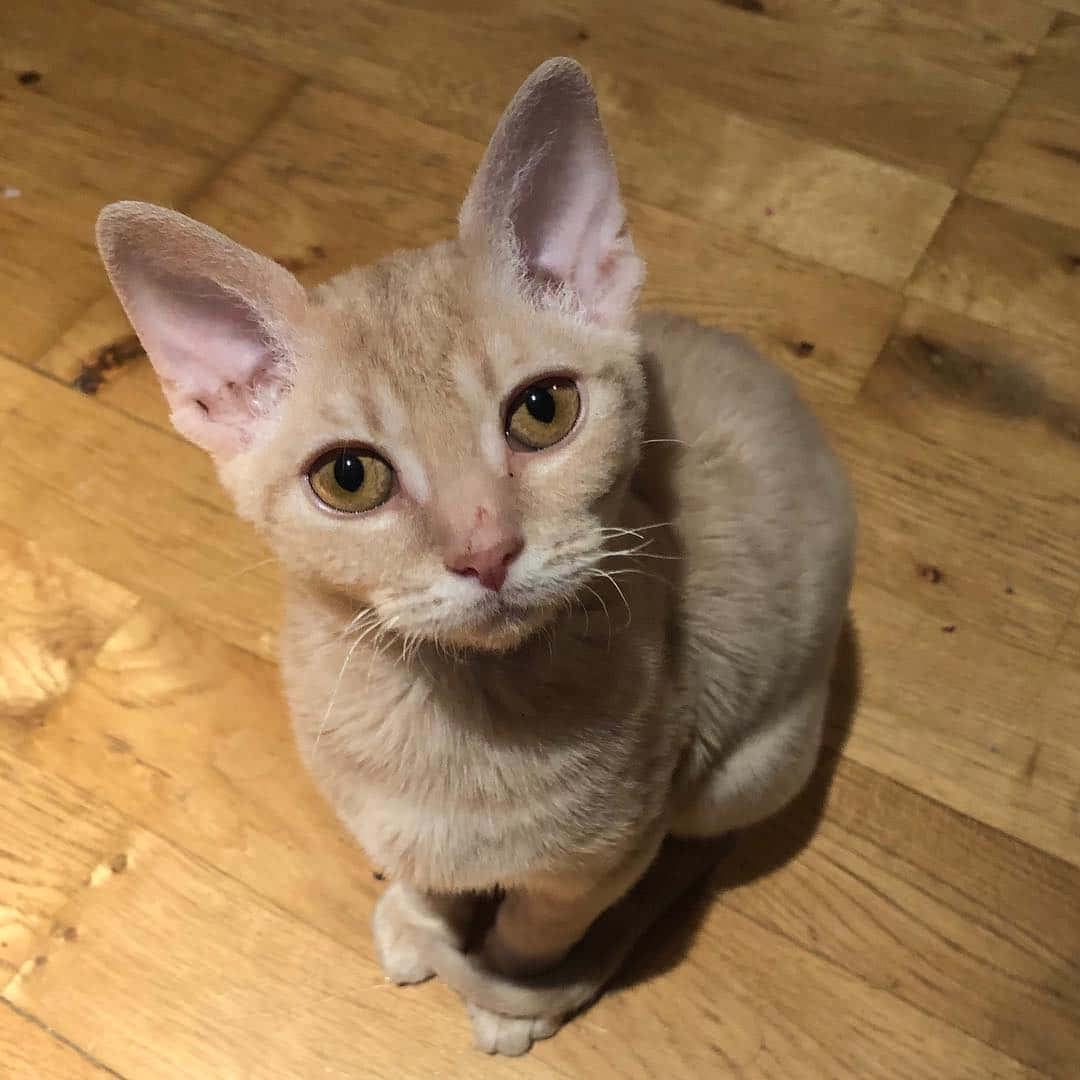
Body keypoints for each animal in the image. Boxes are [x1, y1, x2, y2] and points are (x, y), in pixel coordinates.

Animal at [95, 56, 851, 1054]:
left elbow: (541, 916)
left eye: (543, 411)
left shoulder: (608, 850)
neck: (454, 713)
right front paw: (422, 917)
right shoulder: (386, 816)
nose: (486, 550)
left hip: (746, 772)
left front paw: (510, 989)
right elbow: (419, 865)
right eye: (349, 478)